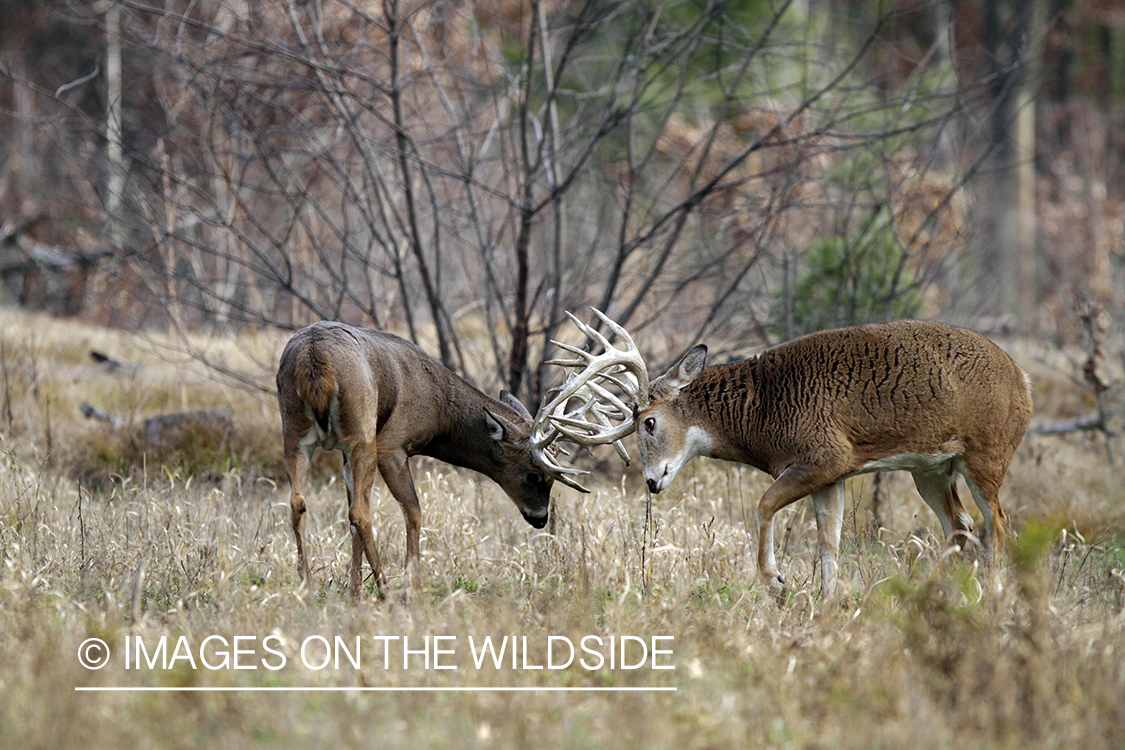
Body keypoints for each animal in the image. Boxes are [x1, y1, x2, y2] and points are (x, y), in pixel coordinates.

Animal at [277, 321, 589, 598]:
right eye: (534, 474)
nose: (541, 519)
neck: (437, 406)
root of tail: (315, 361)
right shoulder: (391, 445)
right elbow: (413, 511)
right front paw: (412, 586)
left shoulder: (345, 452)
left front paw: (354, 592)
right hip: (362, 433)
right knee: (360, 513)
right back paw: (386, 591)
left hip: (294, 431)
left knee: (299, 503)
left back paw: (306, 588)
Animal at [535, 308, 1035, 602]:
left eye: (650, 423)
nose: (653, 481)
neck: (760, 409)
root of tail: (1023, 379)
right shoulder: (833, 475)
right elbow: (830, 540)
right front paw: (829, 603)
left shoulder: (825, 454)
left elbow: (763, 505)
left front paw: (776, 583)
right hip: (930, 467)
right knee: (960, 524)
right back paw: (930, 588)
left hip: (986, 452)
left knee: (997, 521)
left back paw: (993, 594)